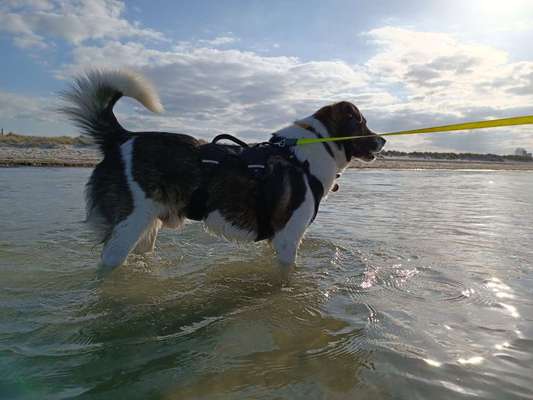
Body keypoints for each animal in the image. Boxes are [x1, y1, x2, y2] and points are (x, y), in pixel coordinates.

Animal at [62, 70, 384, 270]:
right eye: (362, 122)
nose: (383, 141)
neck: (310, 152)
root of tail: (122, 137)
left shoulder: (276, 240)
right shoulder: (288, 239)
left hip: (146, 229)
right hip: (127, 229)